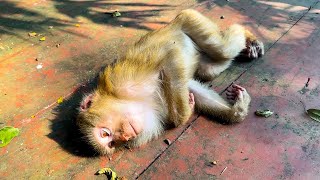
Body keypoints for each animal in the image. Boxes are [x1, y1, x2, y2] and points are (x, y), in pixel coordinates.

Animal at [76, 9, 264, 155]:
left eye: (105, 134)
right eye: (112, 143)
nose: (125, 137)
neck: (135, 102)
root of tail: (173, 22)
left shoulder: (122, 82)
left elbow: (170, 56)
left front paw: (182, 116)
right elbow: (194, 91)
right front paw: (237, 110)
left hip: (190, 19)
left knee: (222, 49)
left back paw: (247, 35)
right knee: (208, 70)